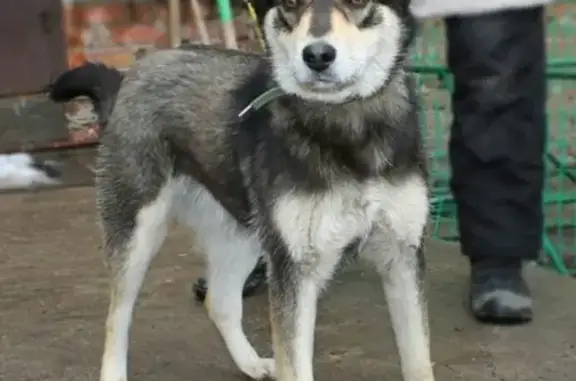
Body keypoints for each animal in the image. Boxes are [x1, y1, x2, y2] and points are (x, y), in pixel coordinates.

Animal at [51, 0, 434, 380]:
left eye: (357, 3)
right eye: (291, 5)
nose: (317, 56)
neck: (347, 126)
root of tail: (129, 75)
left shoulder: (401, 255)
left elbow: (419, 359)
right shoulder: (294, 268)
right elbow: (295, 363)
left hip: (243, 232)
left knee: (218, 301)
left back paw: (250, 363)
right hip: (137, 231)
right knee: (118, 316)